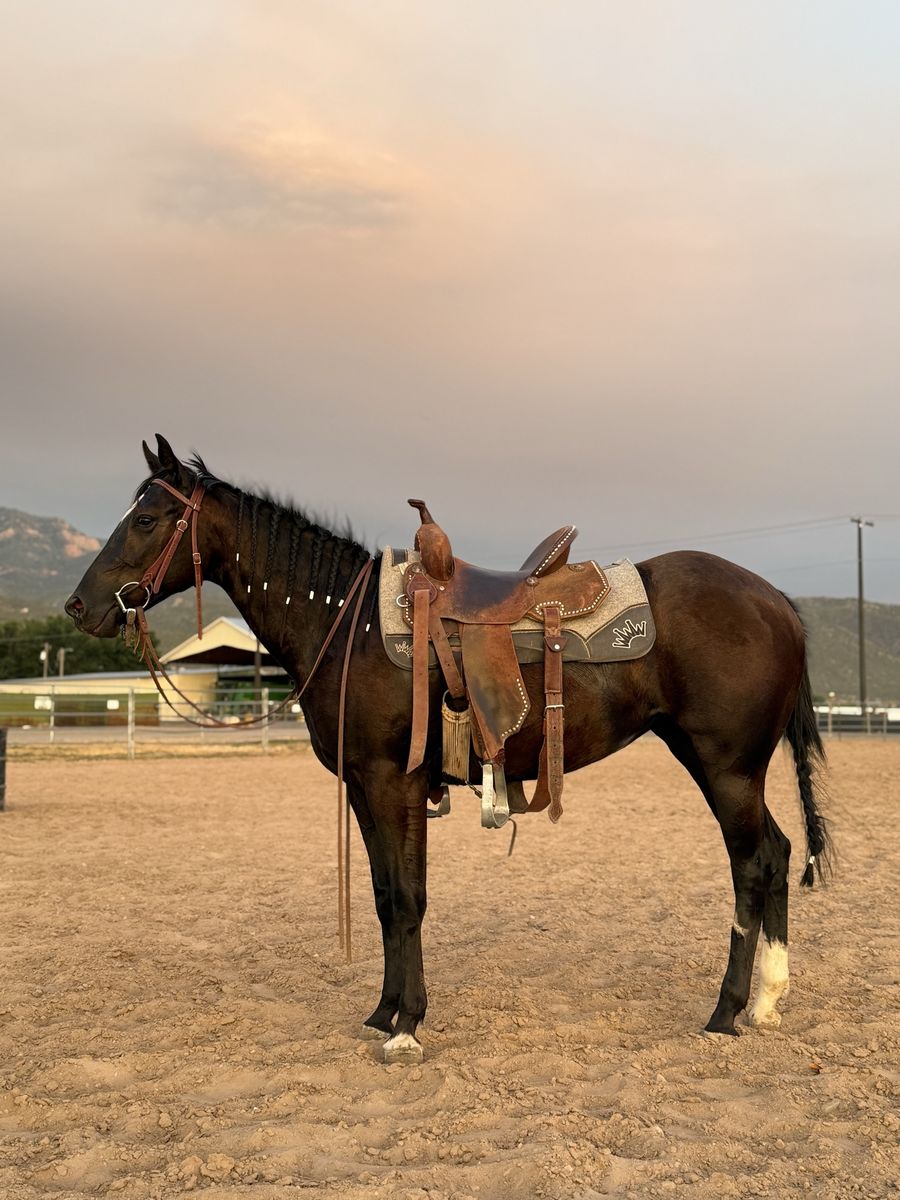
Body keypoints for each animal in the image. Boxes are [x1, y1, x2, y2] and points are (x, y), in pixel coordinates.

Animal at [65, 435, 831, 1064]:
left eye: (145, 519)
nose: (78, 607)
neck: (346, 625)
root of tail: (776, 600)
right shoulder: (364, 787)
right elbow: (383, 896)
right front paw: (383, 1012)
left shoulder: (392, 782)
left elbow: (408, 898)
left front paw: (407, 1028)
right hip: (728, 767)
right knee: (779, 852)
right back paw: (766, 1002)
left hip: (725, 767)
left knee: (753, 865)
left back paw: (726, 1012)